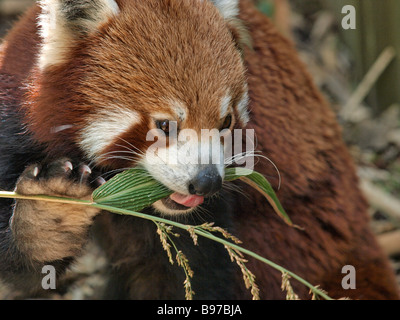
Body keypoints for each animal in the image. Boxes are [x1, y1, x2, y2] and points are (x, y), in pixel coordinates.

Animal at [0, 0, 398, 300]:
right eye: (165, 126)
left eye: (226, 122)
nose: (207, 181)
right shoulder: (17, 119)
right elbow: (25, 270)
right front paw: (49, 215)